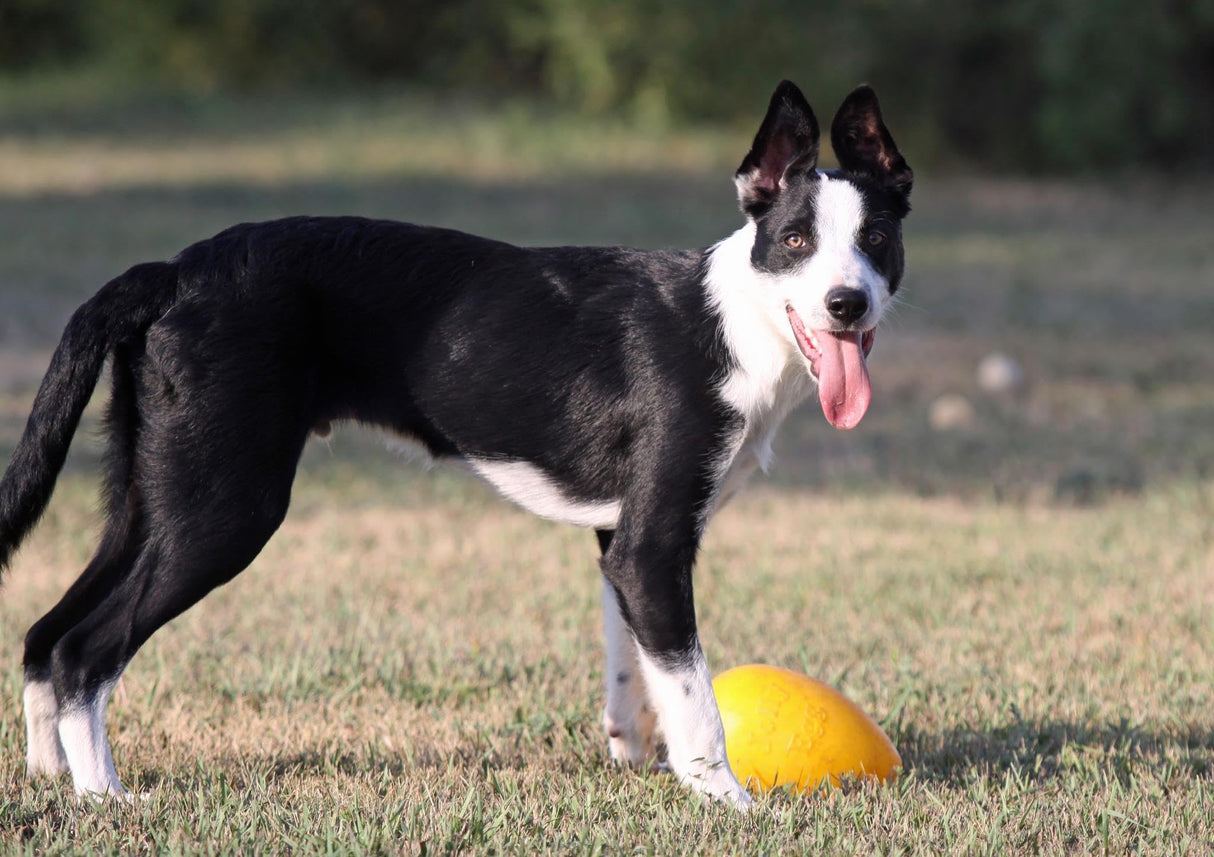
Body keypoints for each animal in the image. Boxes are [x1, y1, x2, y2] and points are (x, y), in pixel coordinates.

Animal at [0, 80, 912, 801]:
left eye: (876, 241)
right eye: (794, 241)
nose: (847, 304)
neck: (735, 324)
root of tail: (170, 272)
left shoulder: (621, 543)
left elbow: (636, 671)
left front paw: (635, 762)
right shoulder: (653, 545)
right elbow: (694, 695)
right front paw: (728, 802)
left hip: (152, 500)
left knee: (44, 634)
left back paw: (51, 779)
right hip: (223, 510)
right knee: (83, 650)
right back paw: (107, 796)